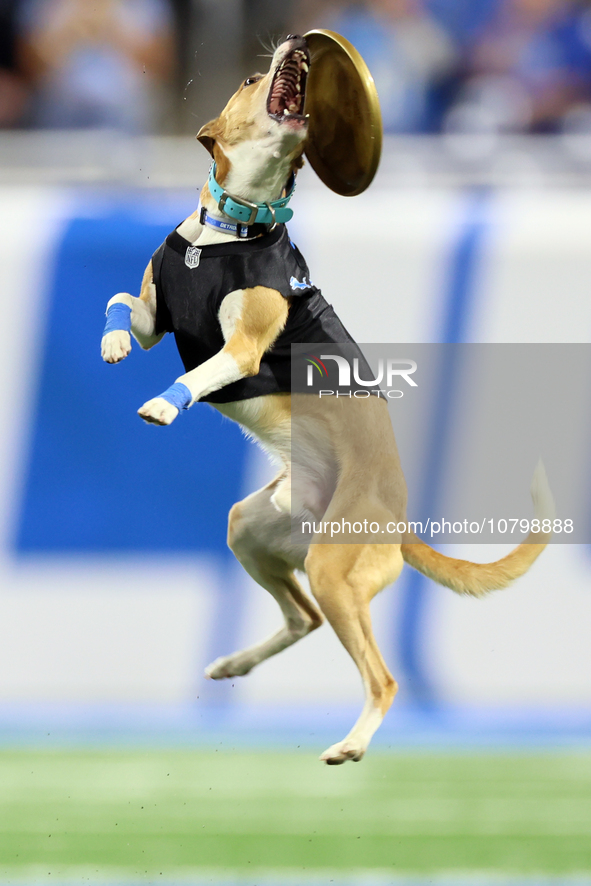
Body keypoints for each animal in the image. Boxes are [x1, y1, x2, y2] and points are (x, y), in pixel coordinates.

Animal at [100, 36, 556, 764]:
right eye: (251, 78)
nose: (294, 44)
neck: (227, 232)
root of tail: (397, 521)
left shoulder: (244, 349)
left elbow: (205, 374)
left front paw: (165, 404)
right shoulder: (157, 316)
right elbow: (122, 305)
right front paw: (112, 345)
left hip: (335, 573)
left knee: (382, 676)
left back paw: (351, 744)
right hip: (253, 528)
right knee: (302, 617)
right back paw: (233, 663)